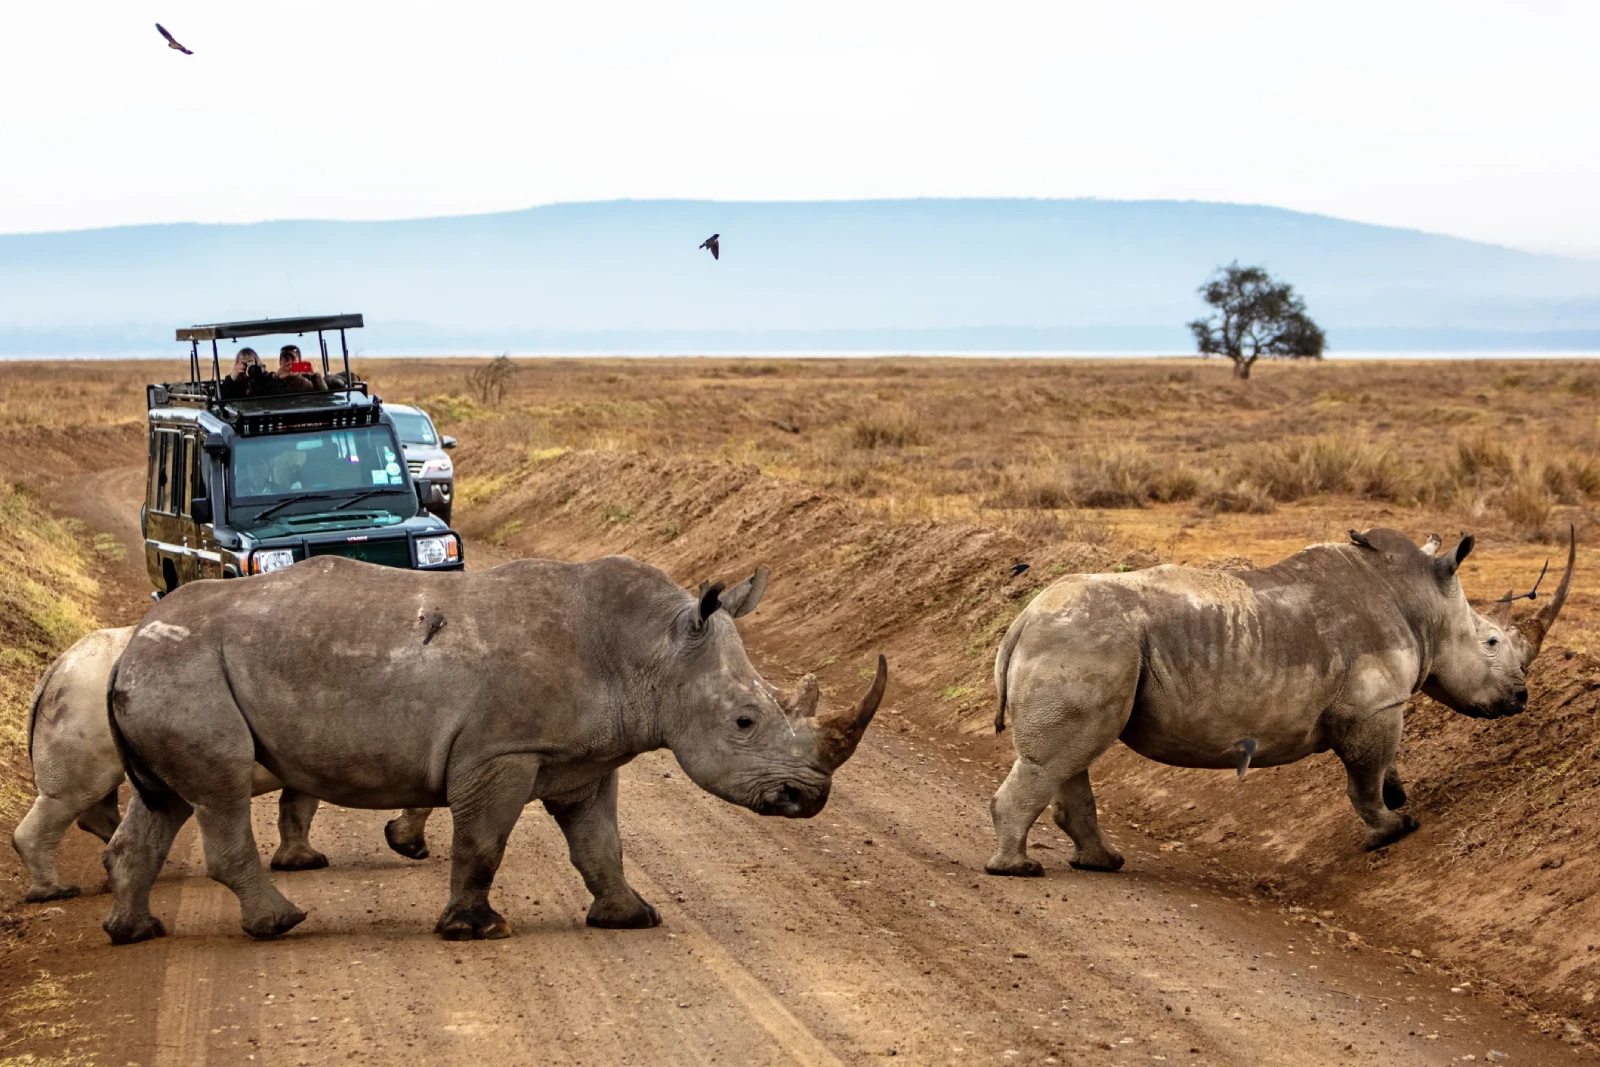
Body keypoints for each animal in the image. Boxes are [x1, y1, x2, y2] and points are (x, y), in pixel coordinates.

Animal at [12, 626, 436, 902]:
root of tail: (54, 670)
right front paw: (409, 847)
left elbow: (297, 806)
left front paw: (299, 863)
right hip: (84, 695)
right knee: (74, 794)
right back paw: (56, 894)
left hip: (85, 697)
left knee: (94, 796)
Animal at [102, 555, 885, 943]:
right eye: (746, 722)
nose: (808, 798)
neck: (651, 652)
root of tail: (127, 647)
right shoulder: (501, 751)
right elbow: (482, 841)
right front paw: (476, 930)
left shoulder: (583, 760)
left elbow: (601, 844)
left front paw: (631, 917)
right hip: (187, 674)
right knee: (221, 792)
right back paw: (282, 925)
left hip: (168, 675)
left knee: (162, 804)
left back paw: (134, 931)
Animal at [986, 528, 1573, 876]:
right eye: (1492, 641)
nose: (1521, 697)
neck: (1423, 602)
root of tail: (1022, 620)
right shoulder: (1372, 708)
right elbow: (1362, 781)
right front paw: (1394, 830)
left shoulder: (1377, 709)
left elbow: (1381, 769)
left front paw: (1399, 794)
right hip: (1086, 641)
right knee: (1063, 754)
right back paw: (1018, 870)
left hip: (1085, 642)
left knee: (1073, 754)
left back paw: (1102, 863)